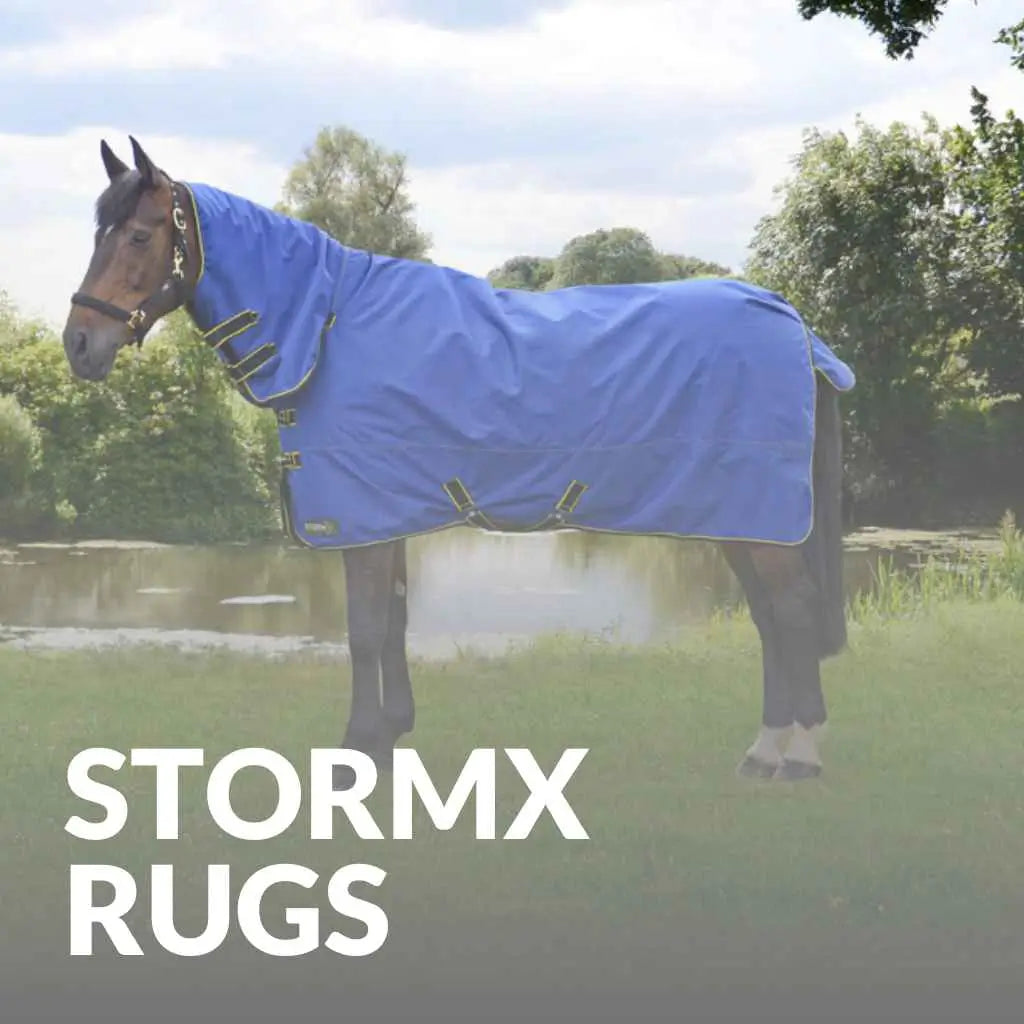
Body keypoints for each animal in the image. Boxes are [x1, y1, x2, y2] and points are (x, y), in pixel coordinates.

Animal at [61, 137, 855, 785]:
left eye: (138, 234)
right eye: (96, 234)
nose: (79, 345)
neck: (329, 328)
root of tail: (795, 323)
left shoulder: (361, 515)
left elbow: (364, 629)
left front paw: (355, 752)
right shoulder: (387, 514)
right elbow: (394, 622)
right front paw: (388, 738)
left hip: (759, 515)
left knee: (791, 611)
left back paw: (800, 755)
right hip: (738, 516)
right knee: (771, 619)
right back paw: (763, 750)